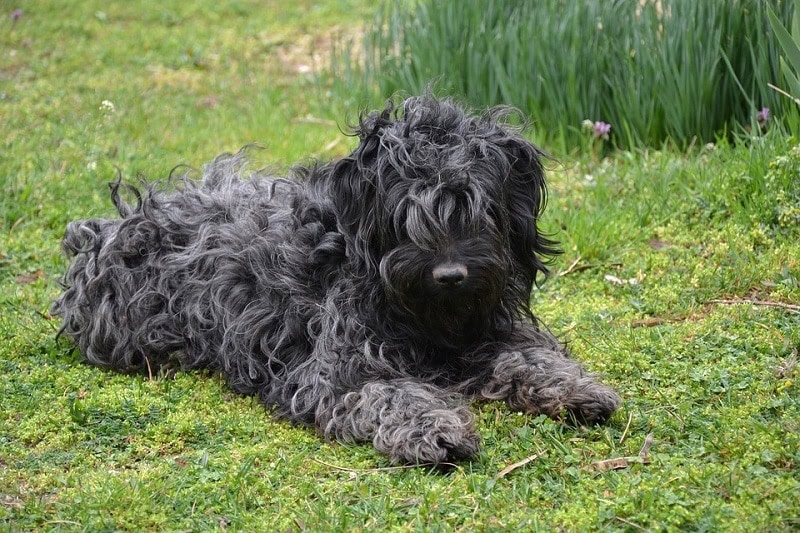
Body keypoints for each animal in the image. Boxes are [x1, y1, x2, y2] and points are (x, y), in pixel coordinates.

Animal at [53, 96, 620, 466]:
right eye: (406, 214)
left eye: (478, 209)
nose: (450, 275)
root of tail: (106, 228)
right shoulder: (336, 369)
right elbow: (390, 393)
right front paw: (434, 428)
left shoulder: (487, 328)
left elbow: (526, 356)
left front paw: (575, 388)